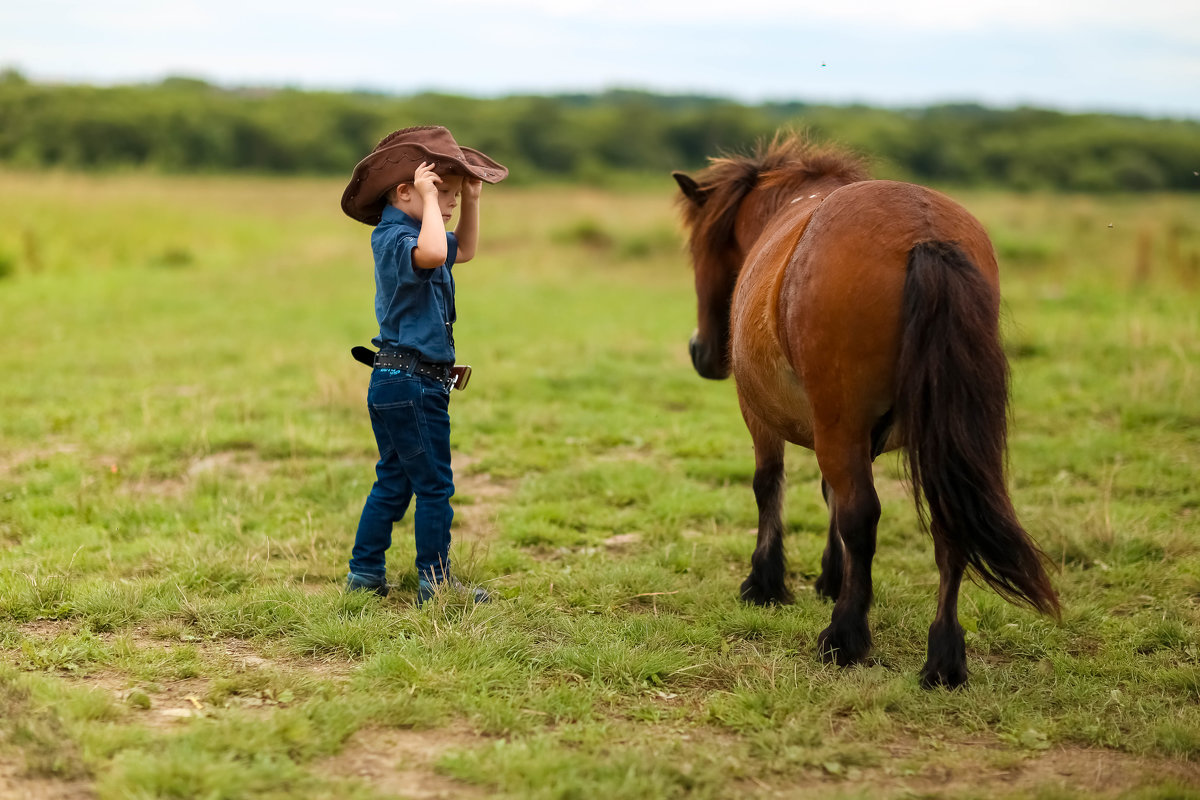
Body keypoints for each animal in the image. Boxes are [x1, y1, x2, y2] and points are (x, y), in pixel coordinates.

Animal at [676, 134, 1060, 686]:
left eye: (699, 249)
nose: (701, 352)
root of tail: (924, 234)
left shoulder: (768, 417)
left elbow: (772, 487)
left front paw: (765, 583)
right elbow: (829, 497)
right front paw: (831, 578)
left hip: (840, 426)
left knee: (862, 516)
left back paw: (845, 637)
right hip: (936, 442)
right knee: (948, 529)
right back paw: (944, 659)